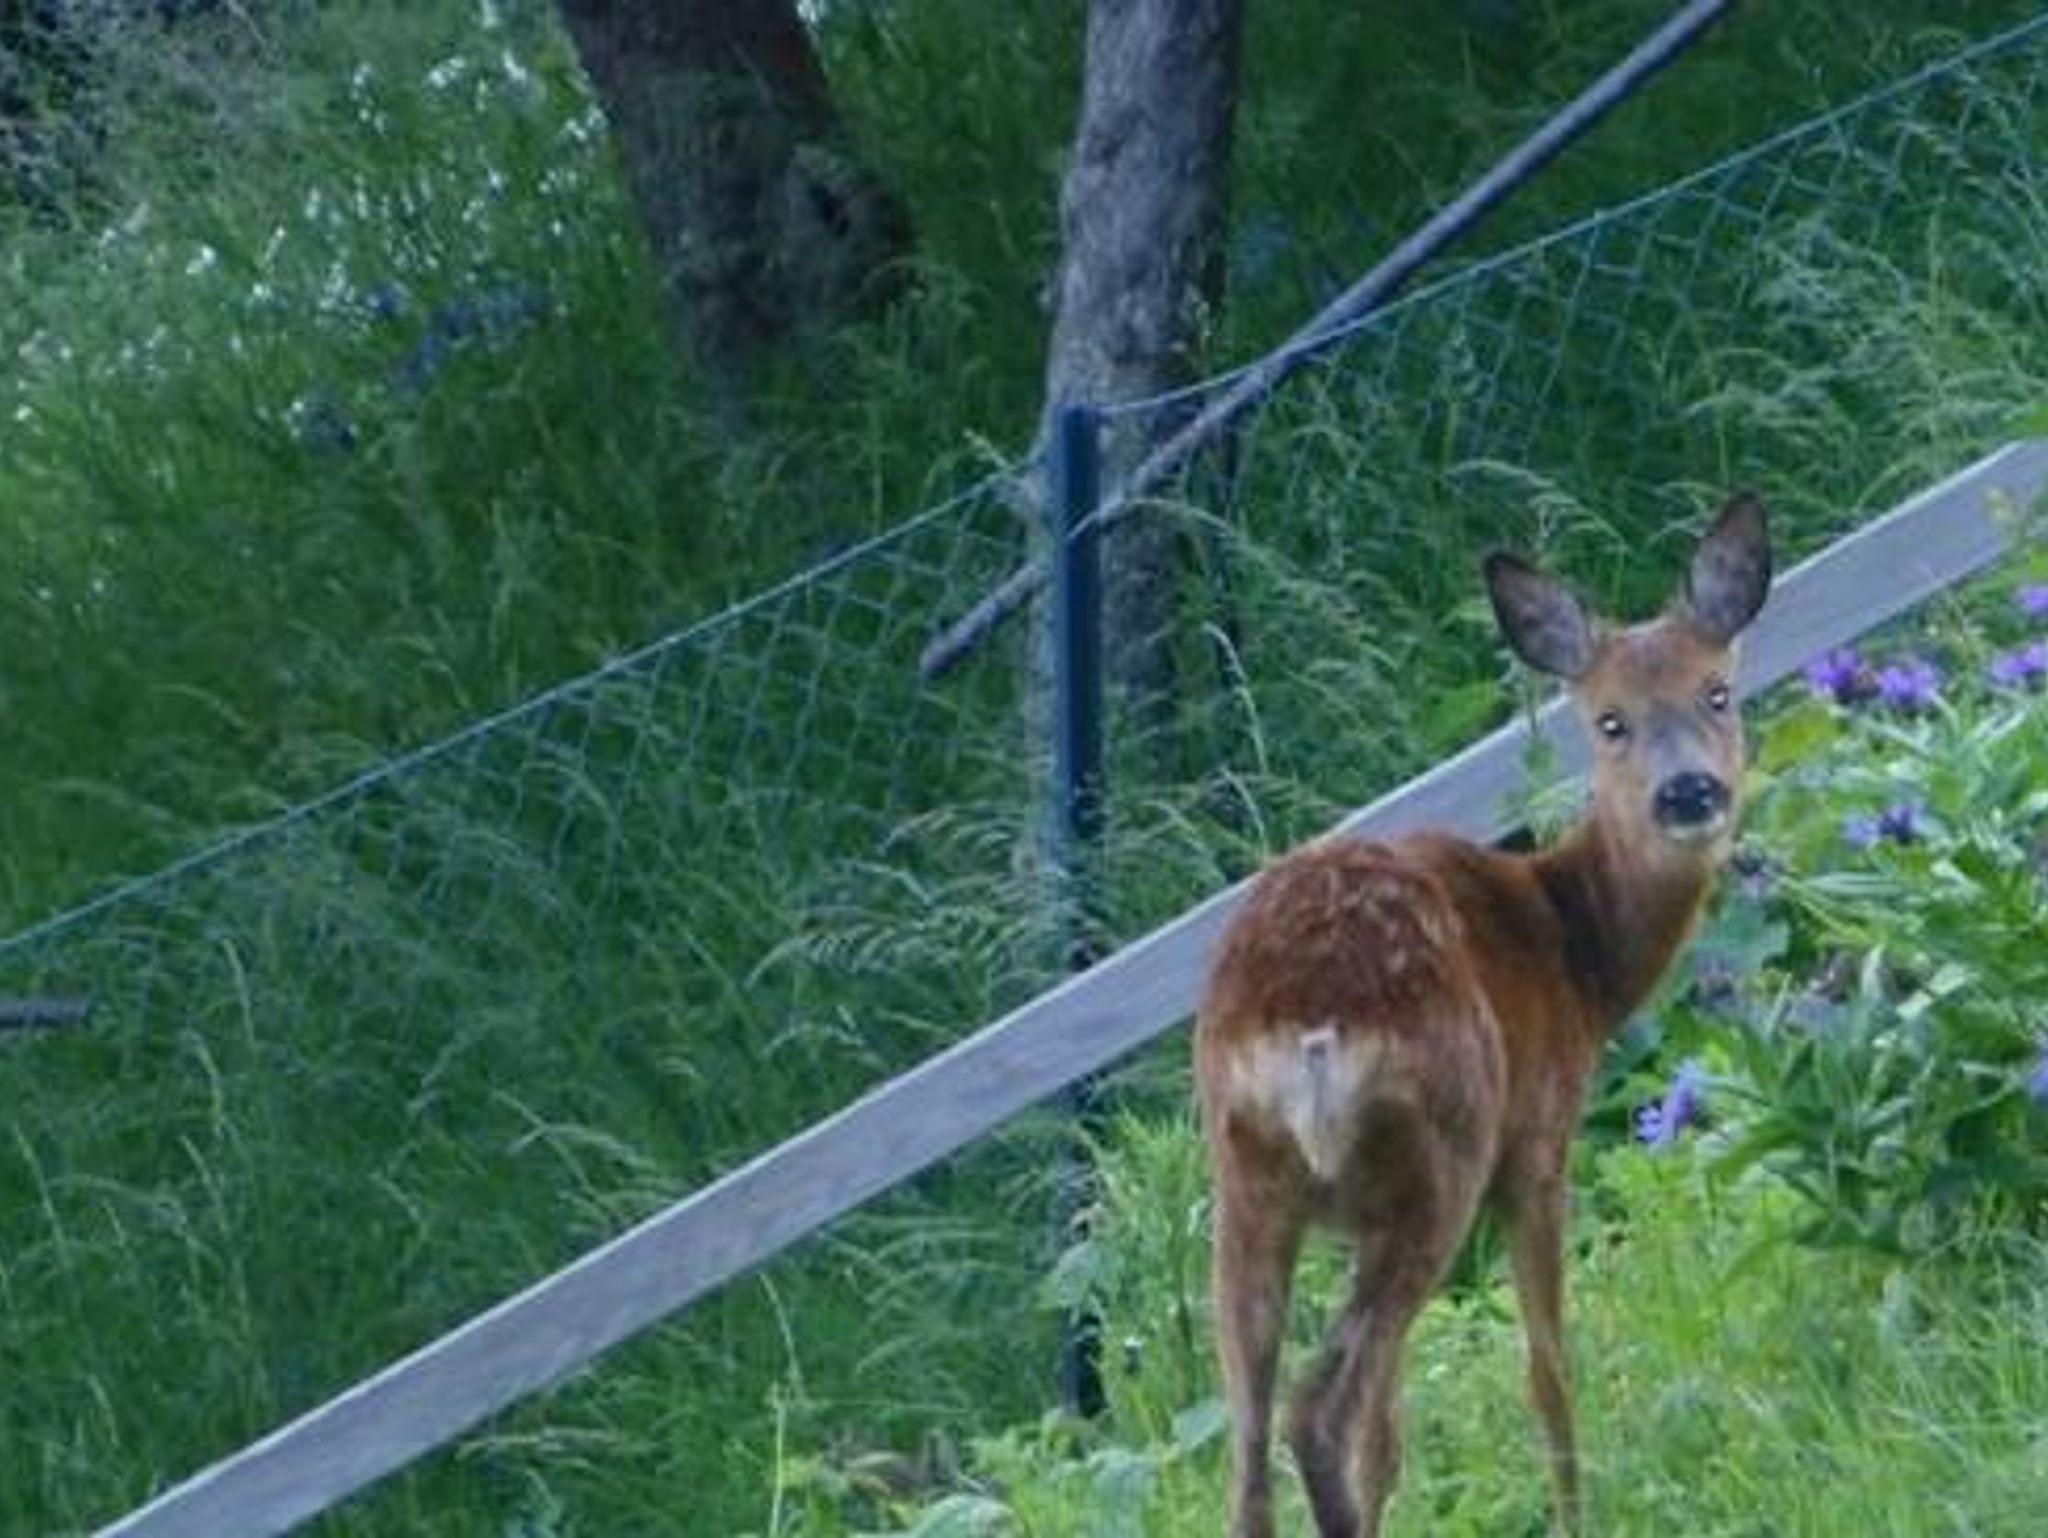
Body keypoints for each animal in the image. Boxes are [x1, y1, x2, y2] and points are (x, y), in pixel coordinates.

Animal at [1196, 495, 1769, 1538]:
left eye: (1717, 692)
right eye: (1610, 721)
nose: (1688, 793)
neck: (1575, 952)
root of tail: (1304, 1030)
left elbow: (1392, 1436)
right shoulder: (1538, 1143)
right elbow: (1548, 1366)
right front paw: (1577, 1513)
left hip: (1247, 1179)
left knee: (1253, 1444)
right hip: (1436, 1161)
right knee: (1321, 1407)